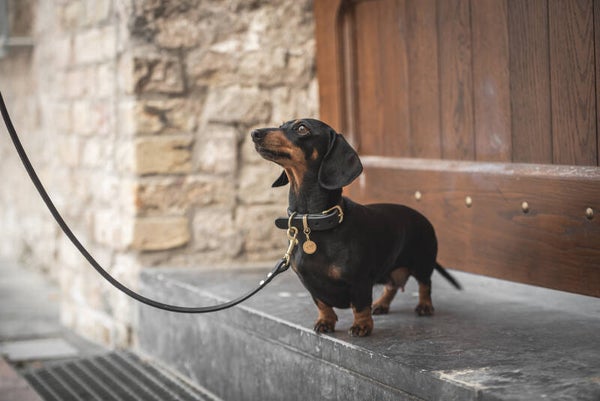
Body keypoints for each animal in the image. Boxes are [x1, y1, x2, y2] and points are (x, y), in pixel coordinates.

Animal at [251, 118, 461, 336]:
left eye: (302, 128)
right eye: (281, 125)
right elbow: (322, 304)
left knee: (425, 284)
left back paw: (425, 306)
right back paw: (381, 304)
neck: (315, 222)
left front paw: (362, 326)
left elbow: (360, 306)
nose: (255, 133)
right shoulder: (310, 284)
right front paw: (325, 321)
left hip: (422, 262)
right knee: (392, 287)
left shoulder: (360, 281)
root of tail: (421, 217)